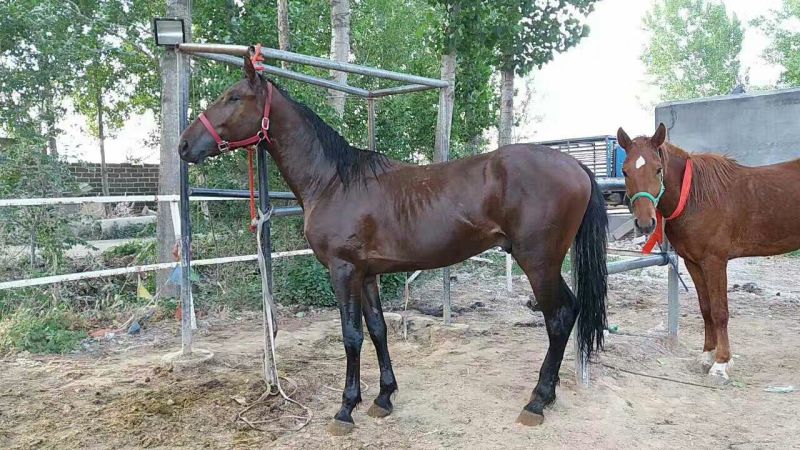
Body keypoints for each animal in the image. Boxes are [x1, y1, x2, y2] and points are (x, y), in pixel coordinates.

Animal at [179, 56, 609, 435]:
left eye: (234, 97)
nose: (184, 145)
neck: (333, 182)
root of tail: (576, 166)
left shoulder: (343, 270)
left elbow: (351, 335)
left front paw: (345, 409)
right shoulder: (367, 274)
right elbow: (377, 330)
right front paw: (383, 398)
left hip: (538, 261)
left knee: (558, 318)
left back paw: (536, 401)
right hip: (546, 263)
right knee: (569, 311)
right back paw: (547, 395)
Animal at [617, 123, 800, 382]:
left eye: (658, 169)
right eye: (624, 172)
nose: (645, 224)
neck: (696, 196)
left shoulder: (715, 261)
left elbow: (720, 311)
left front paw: (721, 364)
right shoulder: (693, 262)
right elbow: (706, 309)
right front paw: (707, 356)